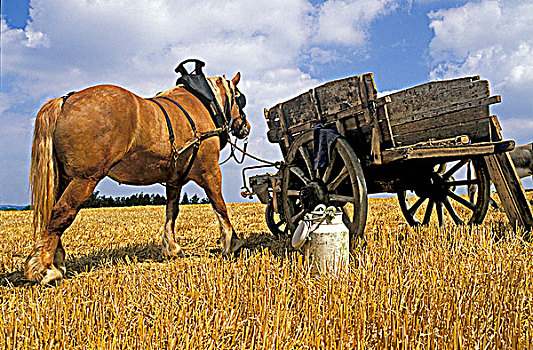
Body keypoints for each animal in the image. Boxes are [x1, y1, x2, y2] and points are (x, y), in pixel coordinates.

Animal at [24, 71, 249, 284]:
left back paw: (55, 261)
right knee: (61, 212)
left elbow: (172, 211)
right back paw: (45, 269)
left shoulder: (174, 179)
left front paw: (171, 247)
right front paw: (232, 242)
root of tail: (65, 102)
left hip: (63, 179)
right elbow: (219, 205)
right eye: (240, 98)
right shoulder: (209, 171)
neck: (203, 104)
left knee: (52, 213)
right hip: (84, 179)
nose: (246, 126)